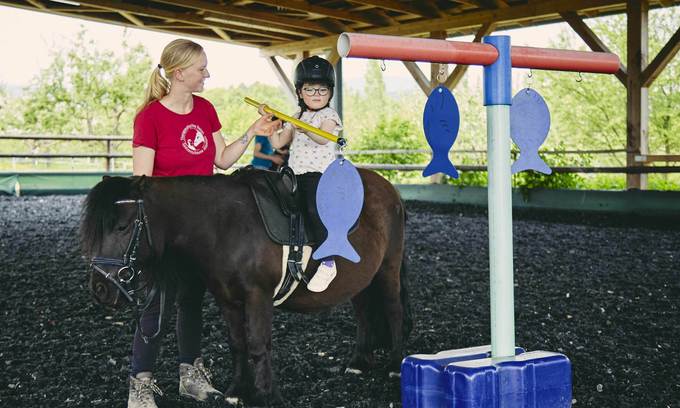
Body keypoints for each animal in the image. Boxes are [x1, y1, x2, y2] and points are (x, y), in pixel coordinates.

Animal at [79, 169, 410, 404]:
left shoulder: (257, 296)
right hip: (363, 278)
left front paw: (267, 395)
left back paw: (396, 364)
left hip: (388, 269)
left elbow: (259, 343)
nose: (100, 288)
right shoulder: (227, 298)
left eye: (122, 227)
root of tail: (389, 189)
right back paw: (359, 362)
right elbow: (237, 343)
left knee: (394, 311)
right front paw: (237, 391)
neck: (225, 225)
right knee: (365, 313)